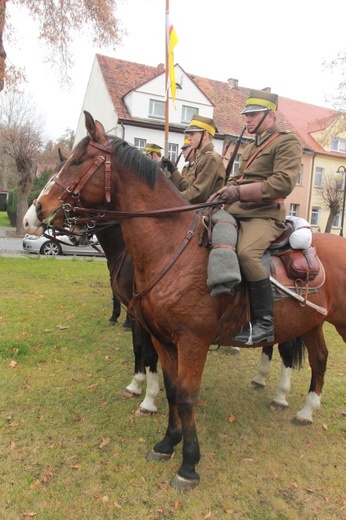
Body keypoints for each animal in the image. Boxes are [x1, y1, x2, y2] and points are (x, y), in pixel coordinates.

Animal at [24, 112, 346, 492]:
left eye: (77, 161)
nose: (34, 213)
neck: (169, 245)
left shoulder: (191, 342)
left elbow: (186, 394)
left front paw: (188, 463)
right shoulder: (163, 337)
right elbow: (172, 388)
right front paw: (166, 442)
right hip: (312, 322)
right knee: (319, 359)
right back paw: (305, 410)